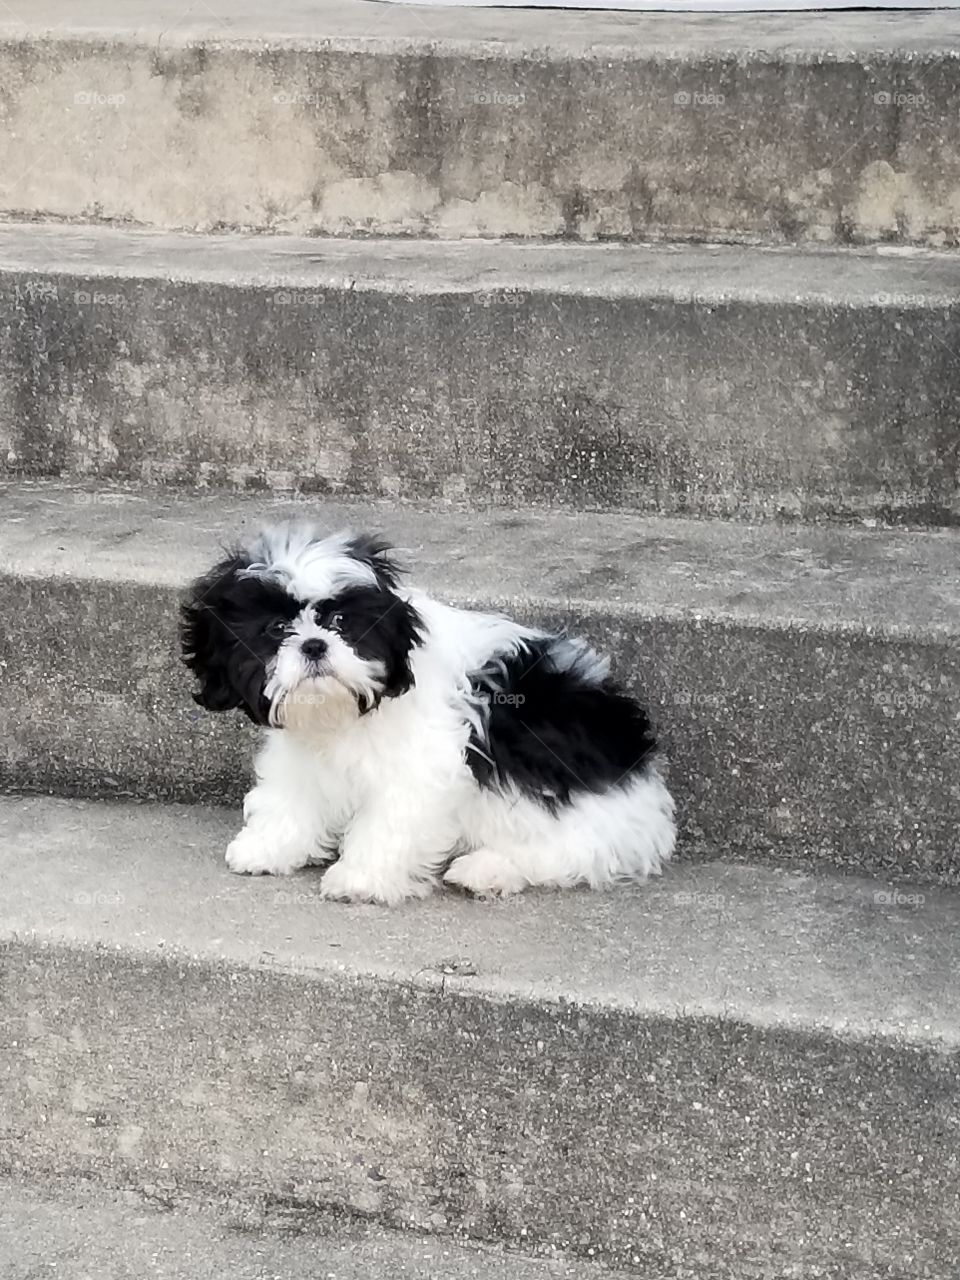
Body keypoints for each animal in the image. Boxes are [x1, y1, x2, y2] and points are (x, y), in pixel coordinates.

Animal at [180, 524, 675, 906]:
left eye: (340, 622)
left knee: (566, 854)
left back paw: (485, 870)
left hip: (578, 817)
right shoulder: (305, 751)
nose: (315, 645)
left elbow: (391, 817)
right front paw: (267, 846)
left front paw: (360, 878)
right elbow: (293, 794)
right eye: (277, 629)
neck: (346, 714)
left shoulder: (421, 764)